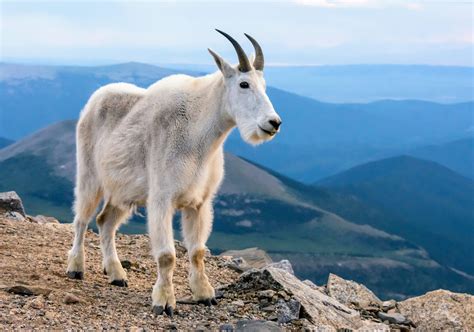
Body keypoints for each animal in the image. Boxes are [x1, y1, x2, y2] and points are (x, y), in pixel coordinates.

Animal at [66, 29, 282, 316]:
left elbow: (197, 251)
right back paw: (76, 268)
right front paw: (164, 302)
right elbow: (167, 255)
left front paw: (205, 295)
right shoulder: (162, 199)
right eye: (244, 84)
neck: (199, 136)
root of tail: (95, 98)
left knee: (105, 221)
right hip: (90, 176)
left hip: (123, 191)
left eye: (265, 86)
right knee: (81, 219)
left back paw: (117, 274)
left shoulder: (200, 203)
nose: (273, 123)